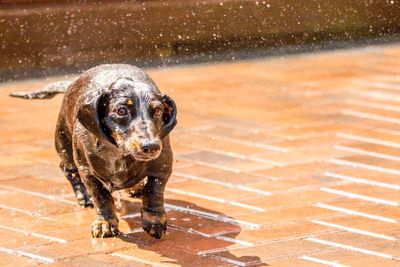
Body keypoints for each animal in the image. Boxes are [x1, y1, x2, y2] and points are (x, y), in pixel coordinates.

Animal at [10, 64, 177, 239]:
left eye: (158, 111)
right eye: (121, 110)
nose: (152, 146)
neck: (120, 154)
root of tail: (70, 85)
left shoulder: (162, 168)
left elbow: (154, 191)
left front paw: (154, 219)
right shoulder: (87, 173)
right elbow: (101, 197)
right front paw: (105, 223)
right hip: (65, 145)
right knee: (67, 170)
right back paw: (84, 196)